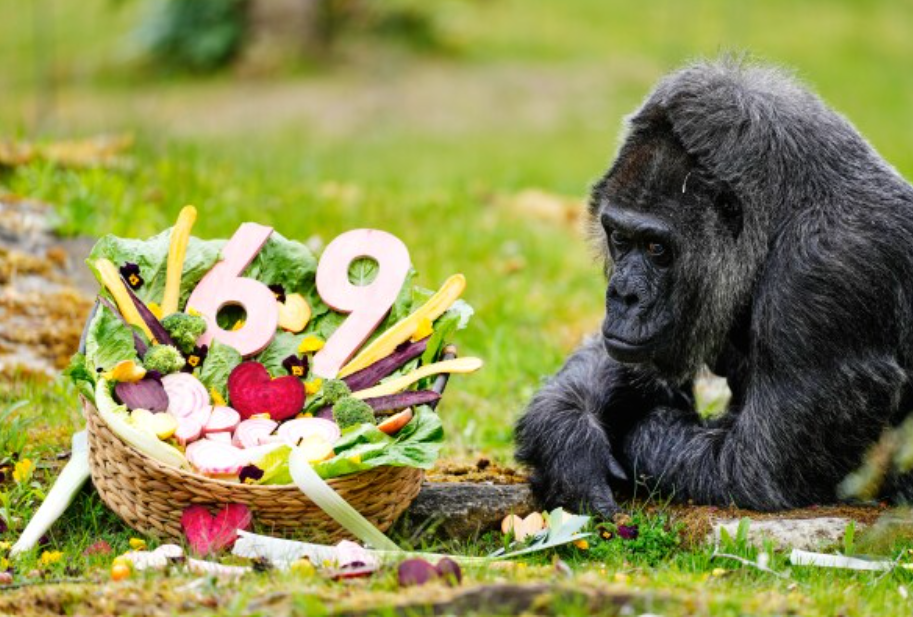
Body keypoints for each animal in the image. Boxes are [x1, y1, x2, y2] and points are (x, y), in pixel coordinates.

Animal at [515, 58, 913, 516]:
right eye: (619, 238)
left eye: (656, 248)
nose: (623, 295)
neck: (780, 219)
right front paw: (569, 440)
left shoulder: (827, 277)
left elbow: (753, 468)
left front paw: (638, 434)